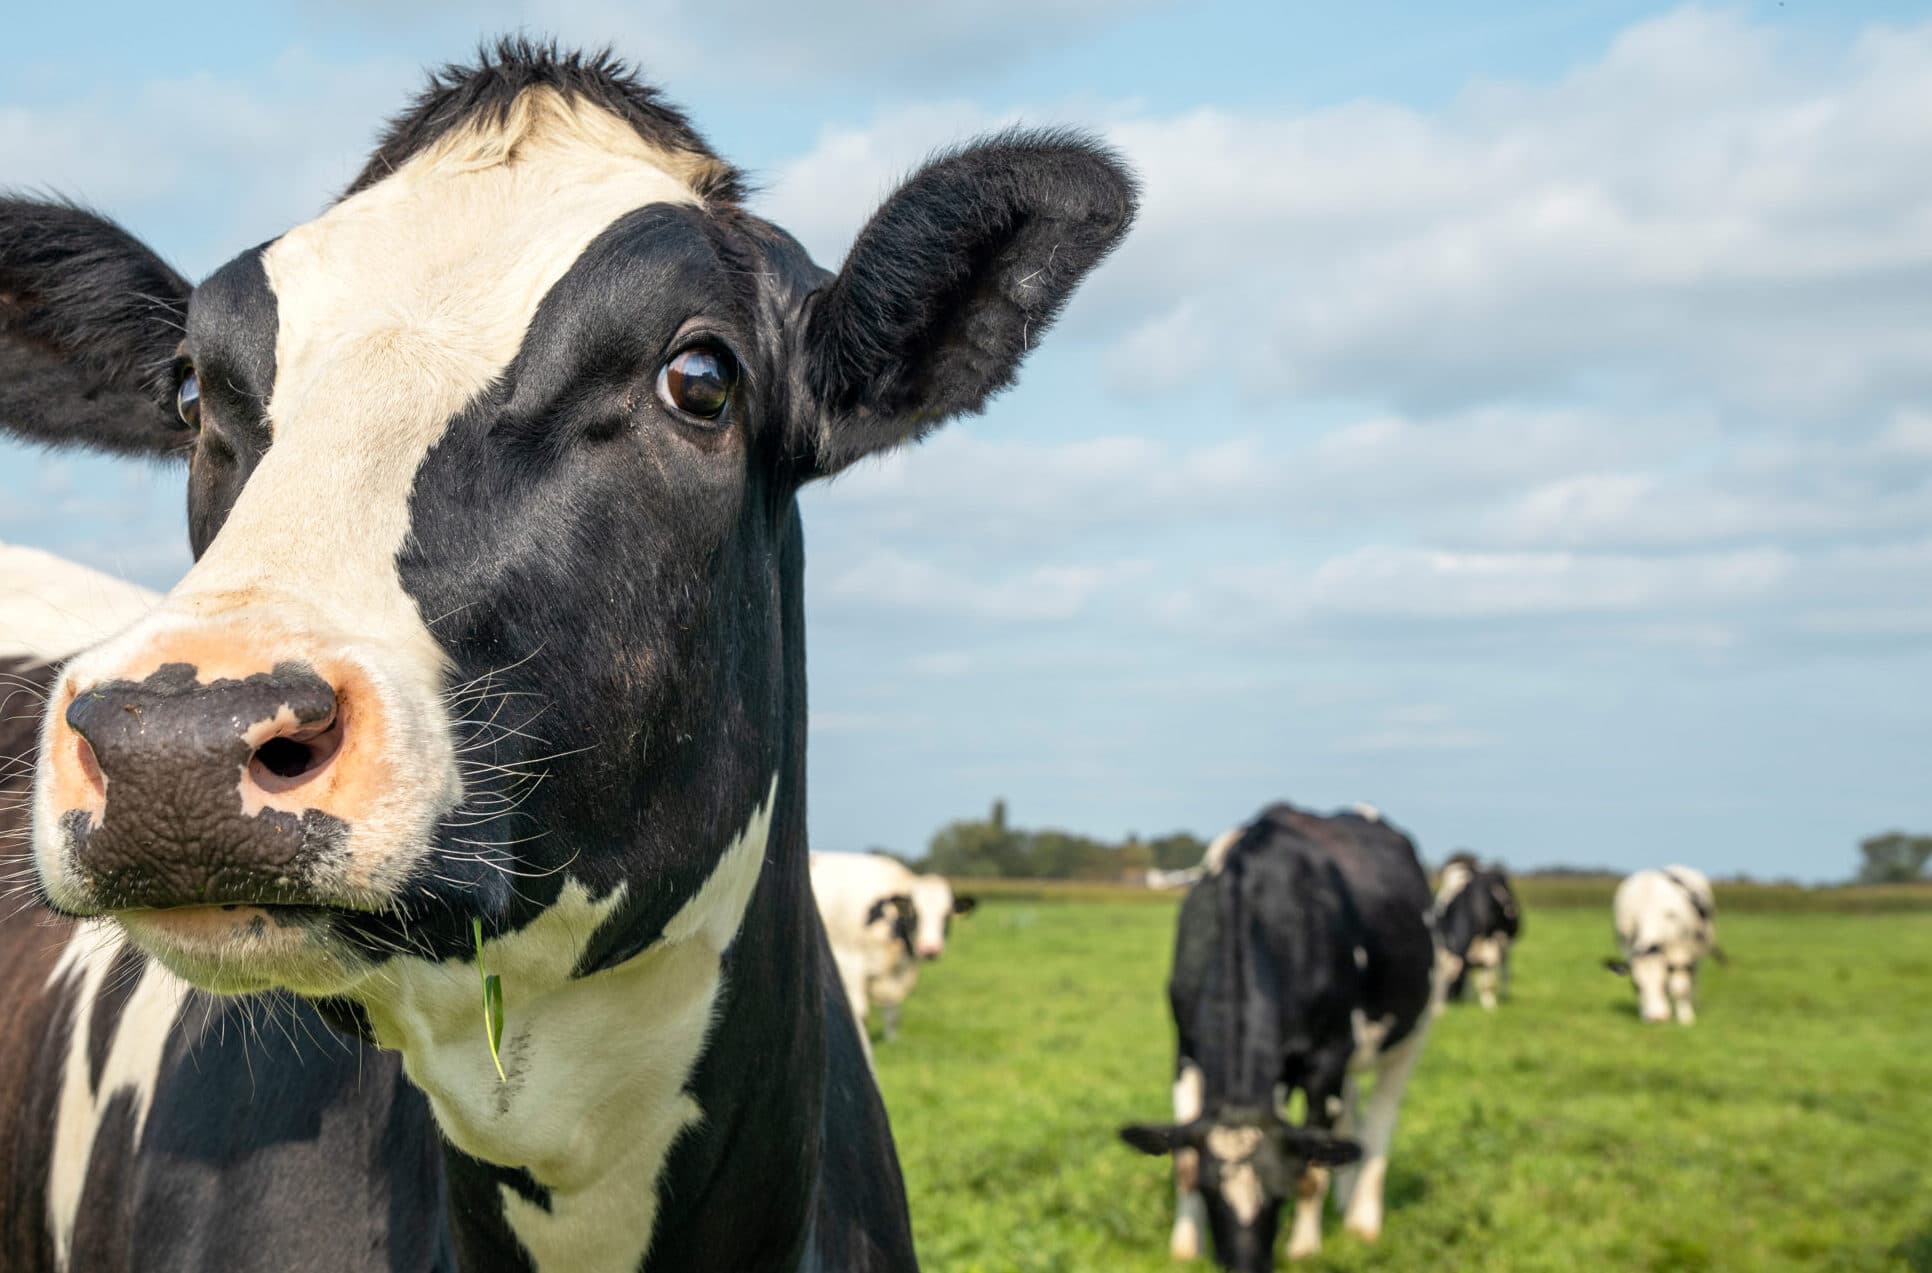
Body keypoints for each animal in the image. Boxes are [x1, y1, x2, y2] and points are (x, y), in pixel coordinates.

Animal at [811, 851, 977, 1047]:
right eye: (914, 913)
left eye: (946, 915)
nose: (930, 949)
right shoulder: (850, 965)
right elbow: (860, 1015)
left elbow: (893, 1013)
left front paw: (892, 1043)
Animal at [1118, 803, 1437, 1269]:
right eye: (1209, 1189)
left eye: (1279, 1190)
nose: (1246, 1266)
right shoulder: (1187, 1051)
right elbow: (1182, 1162)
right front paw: (1186, 1248)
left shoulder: (1326, 1059)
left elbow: (1313, 1167)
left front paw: (1304, 1248)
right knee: (1350, 1120)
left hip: (1412, 1033)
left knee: (1379, 1121)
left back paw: (1362, 1221)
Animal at [1433, 850, 1522, 1012]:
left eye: (1452, 983)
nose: (1441, 1007)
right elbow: (1470, 969)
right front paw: (1469, 998)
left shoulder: (1491, 941)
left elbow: (1489, 972)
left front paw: (1489, 1004)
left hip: (1506, 943)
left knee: (1504, 966)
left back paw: (1503, 993)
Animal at [1606, 866, 1720, 1025]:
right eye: (1636, 985)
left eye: (1664, 984)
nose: (1656, 1019)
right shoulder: (1626, 948)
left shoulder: (1679, 951)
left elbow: (1679, 988)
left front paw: (1686, 1019)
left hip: (1699, 949)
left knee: (1693, 977)